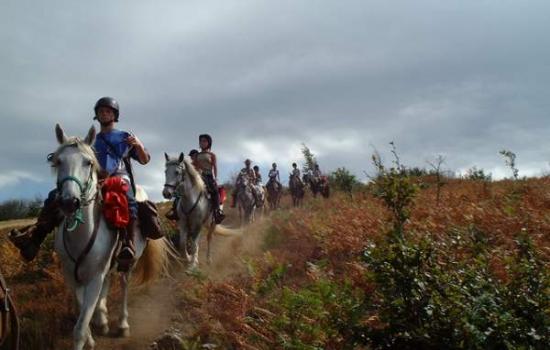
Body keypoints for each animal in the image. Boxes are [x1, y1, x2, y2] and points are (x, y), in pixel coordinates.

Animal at [52, 124, 172, 348]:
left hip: (130, 262)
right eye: (58, 161)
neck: (81, 235)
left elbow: (79, 328)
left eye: (88, 162)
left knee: (124, 284)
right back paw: (102, 319)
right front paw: (92, 335)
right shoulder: (73, 277)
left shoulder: (94, 277)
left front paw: (87, 339)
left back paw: (122, 324)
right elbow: (83, 314)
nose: (69, 202)